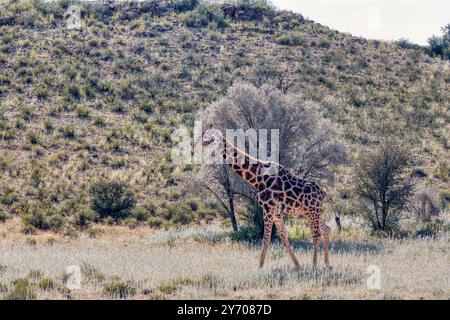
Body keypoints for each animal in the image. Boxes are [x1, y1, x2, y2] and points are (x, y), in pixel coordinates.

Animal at [200, 125, 338, 268]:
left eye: (206, 135)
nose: (201, 143)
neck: (257, 178)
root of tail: (323, 193)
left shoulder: (268, 209)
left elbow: (266, 240)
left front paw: (260, 268)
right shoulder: (276, 214)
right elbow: (284, 239)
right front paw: (298, 266)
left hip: (312, 211)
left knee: (316, 234)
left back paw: (314, 266)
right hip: (312, 212)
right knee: (326, 229)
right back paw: (326, 263)